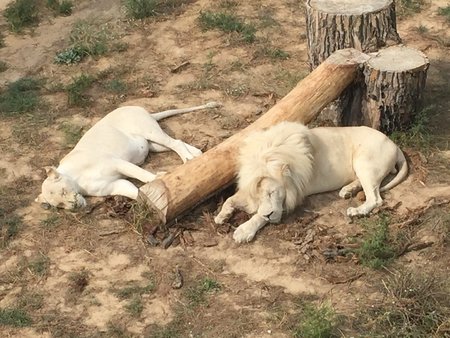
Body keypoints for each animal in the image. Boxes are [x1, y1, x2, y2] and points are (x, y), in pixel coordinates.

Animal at [34, 101, 219, 210]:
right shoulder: (114, 185)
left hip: (150, 131)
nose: (73, 206)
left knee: (175, 143)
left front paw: (159, 177)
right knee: (176, 142)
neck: (78, 181)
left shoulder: (117, 163)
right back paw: (195, 155)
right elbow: (133, 191)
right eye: (59, 205)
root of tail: (139, 108)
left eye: (63, 191)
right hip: (153, 145)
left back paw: (188, 159)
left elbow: (141, 174)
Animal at [214, 121, 408, 243]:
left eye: (272, 193)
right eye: (258, 198)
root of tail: (394, 144)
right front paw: (222, 215)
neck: (270, 155)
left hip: (364, 161)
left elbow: (260, 216)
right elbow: (232, 199)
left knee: (375, 198)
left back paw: (356, 211)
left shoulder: (292, 196)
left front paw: (244, 230)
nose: (268, 214)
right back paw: (348, 190)